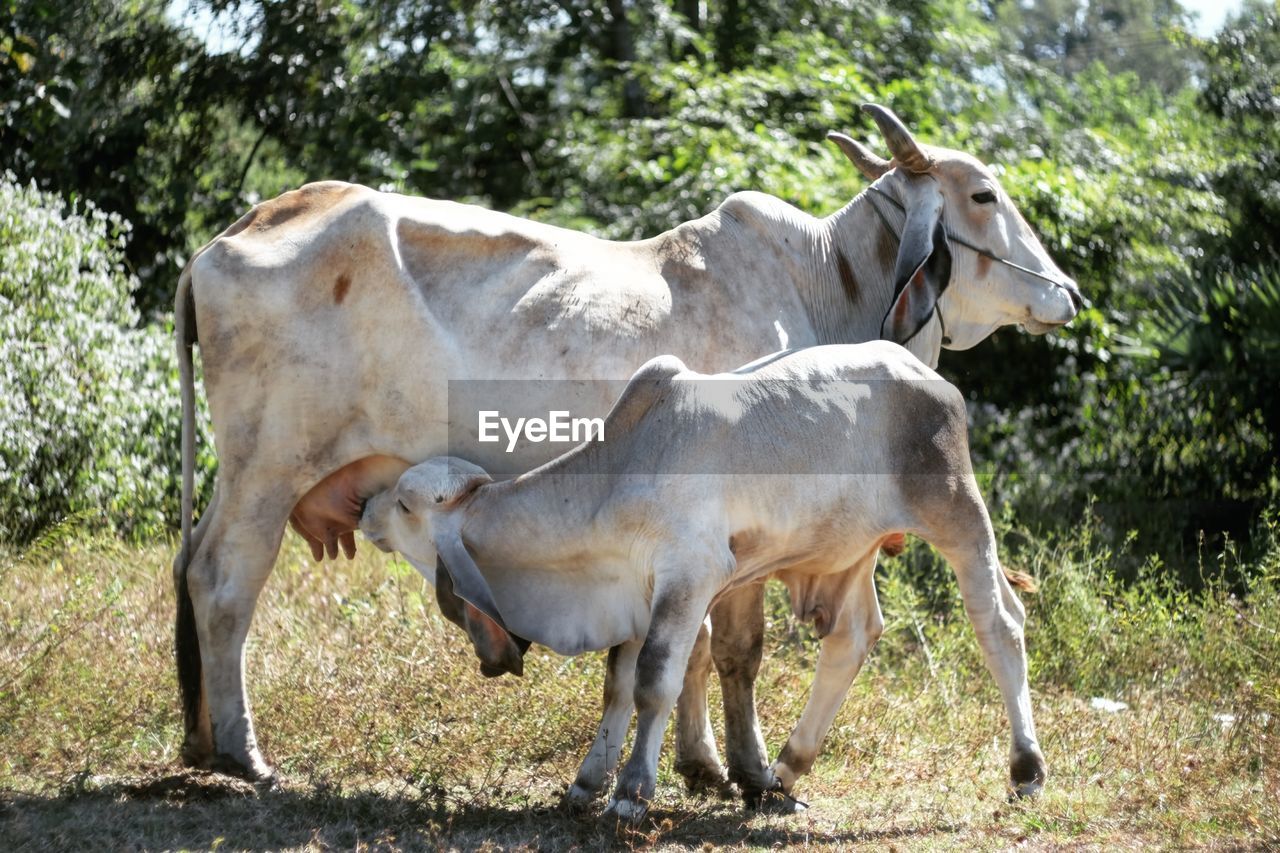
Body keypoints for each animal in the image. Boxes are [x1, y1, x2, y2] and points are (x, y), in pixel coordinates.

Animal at [360, 343, 1049, 819]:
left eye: (405, 504)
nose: (363, 507)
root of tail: (925, 372)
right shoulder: (639, 592)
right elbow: (617, 685)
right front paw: (585, 785)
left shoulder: (690, 576)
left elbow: (654, 681)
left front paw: (631, 794)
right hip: (849, 549)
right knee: (853, 636)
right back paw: (785, 770)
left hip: (957, 512)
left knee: (1000, 624)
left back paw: (1026, 770)